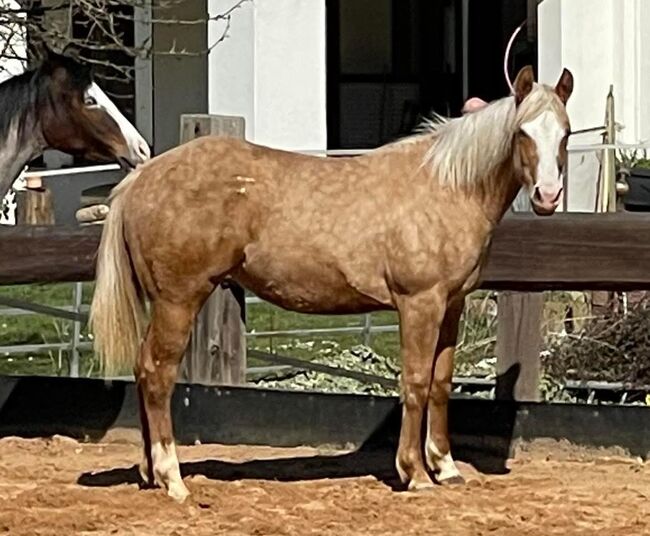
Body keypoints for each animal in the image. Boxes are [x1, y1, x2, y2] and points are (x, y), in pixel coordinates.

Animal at [90, 65, 572, 500]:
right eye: (523, 132)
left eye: (565, 133)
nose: (547, 196)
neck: (446, 188)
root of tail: (141, 177)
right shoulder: (420, 304)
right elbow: (415, 382)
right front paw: (415, 473)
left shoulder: (451, 305)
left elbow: (439, 384)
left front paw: (446, 468)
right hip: (178, 301)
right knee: (158, 373)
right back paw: (173, 479)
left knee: (142, 368)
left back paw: (151, 473)